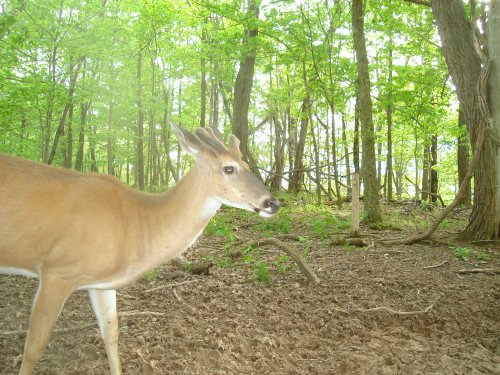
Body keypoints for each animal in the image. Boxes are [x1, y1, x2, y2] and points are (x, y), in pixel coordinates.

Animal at [0, 125, 280, 374]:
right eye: (229, 168)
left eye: (247, 165)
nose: (272, 203)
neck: (137, 223)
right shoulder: (56, 270)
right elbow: (34, 345)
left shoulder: (100, 282)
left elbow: (111, 333)